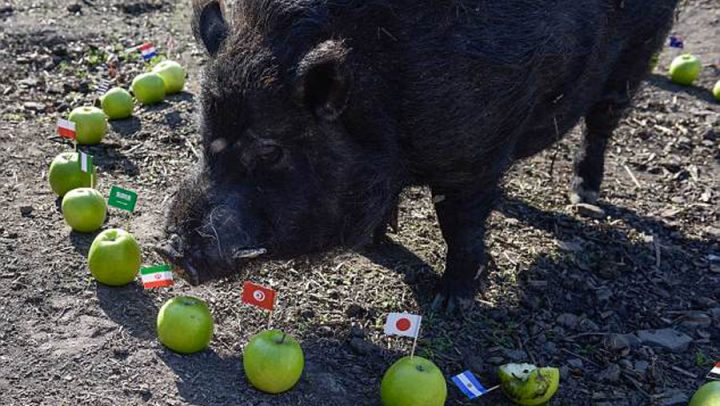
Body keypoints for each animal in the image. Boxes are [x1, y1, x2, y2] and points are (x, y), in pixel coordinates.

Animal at [158, 0, 680, 310]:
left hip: (637, 54)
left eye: (270, 149)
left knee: (603, 121)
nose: (172, 251)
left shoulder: (472, 157)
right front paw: (375, 244)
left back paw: (584, 196)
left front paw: (449, 303)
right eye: (205, 135)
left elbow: (459, 224)